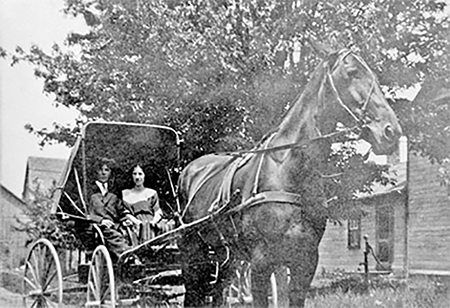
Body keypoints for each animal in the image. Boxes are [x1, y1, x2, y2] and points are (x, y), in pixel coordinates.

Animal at [175, 47, 400, 306]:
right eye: (352, 72)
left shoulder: (306, 262)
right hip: (192, 251)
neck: (289, 171)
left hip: (226, 256)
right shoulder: (261, 263)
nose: (391, 131)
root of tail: (188, 170)